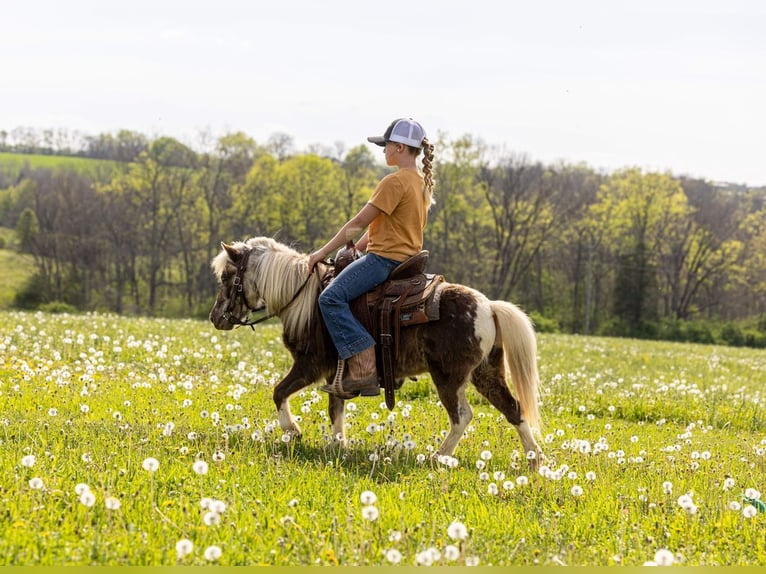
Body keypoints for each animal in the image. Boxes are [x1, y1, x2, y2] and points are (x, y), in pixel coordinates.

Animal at [209, 236, 544, 467]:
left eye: (226, 277)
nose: (215, 318)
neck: (303, 299)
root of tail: (488, 307)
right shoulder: (335, 374)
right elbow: (335, 408)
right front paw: (338, 446)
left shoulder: (309, 365)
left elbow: (279, 392)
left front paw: (293, 431)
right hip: (486, 372)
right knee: (513, 409)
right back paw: (535, 460)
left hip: (448, 377)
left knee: (462, 416)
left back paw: (438, 457)